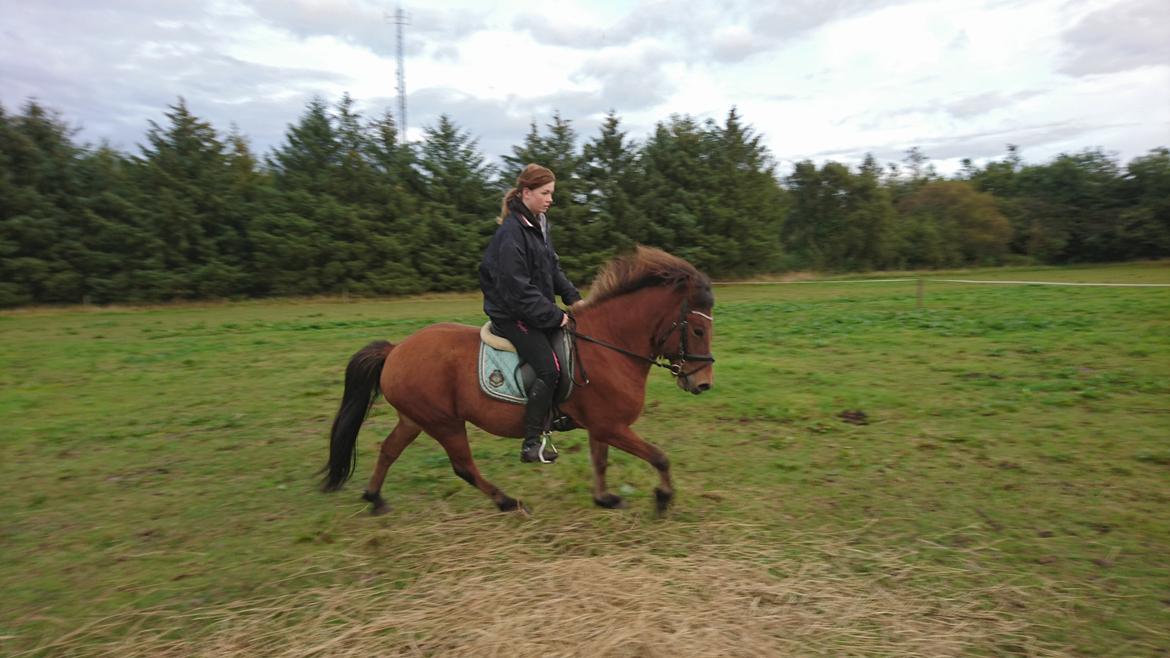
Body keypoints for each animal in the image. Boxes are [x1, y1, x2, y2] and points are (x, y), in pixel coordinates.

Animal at [325, 245, 716, 512]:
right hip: (444, 422)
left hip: (415, 418)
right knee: (463, 466)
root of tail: (396, 349)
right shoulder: (612, 426)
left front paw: (605, 498)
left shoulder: (602, 426)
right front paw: (663, 497)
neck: (608, 345)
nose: (703, 383)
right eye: (697, 330)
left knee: (389, 449)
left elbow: (601, 461)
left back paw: (374, 498)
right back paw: (507, 502)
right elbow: (659, 457)